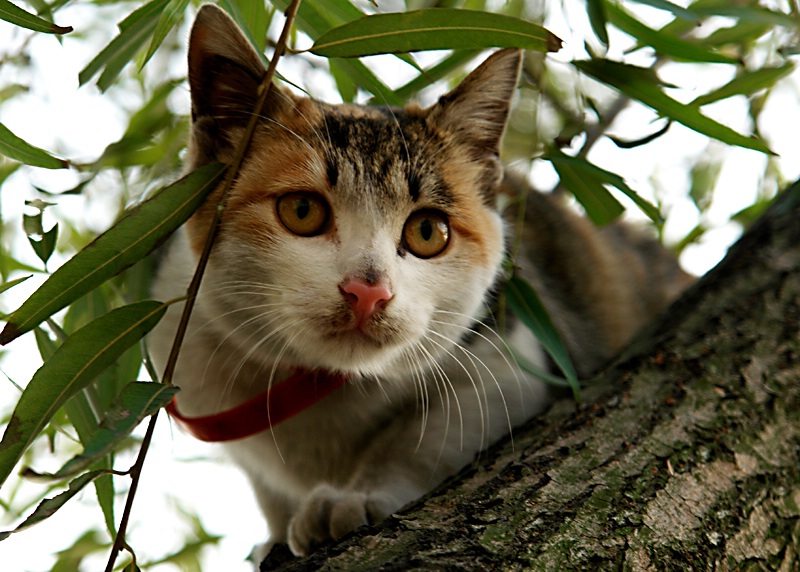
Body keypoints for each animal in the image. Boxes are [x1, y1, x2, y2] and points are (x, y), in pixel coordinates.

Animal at [148, 2, 688, 560]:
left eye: (428, 231)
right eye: (301, 211)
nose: (368, 289)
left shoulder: (514, 361)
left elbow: (423, 438)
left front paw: (352, 497)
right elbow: (267, 490)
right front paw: (277, 534)